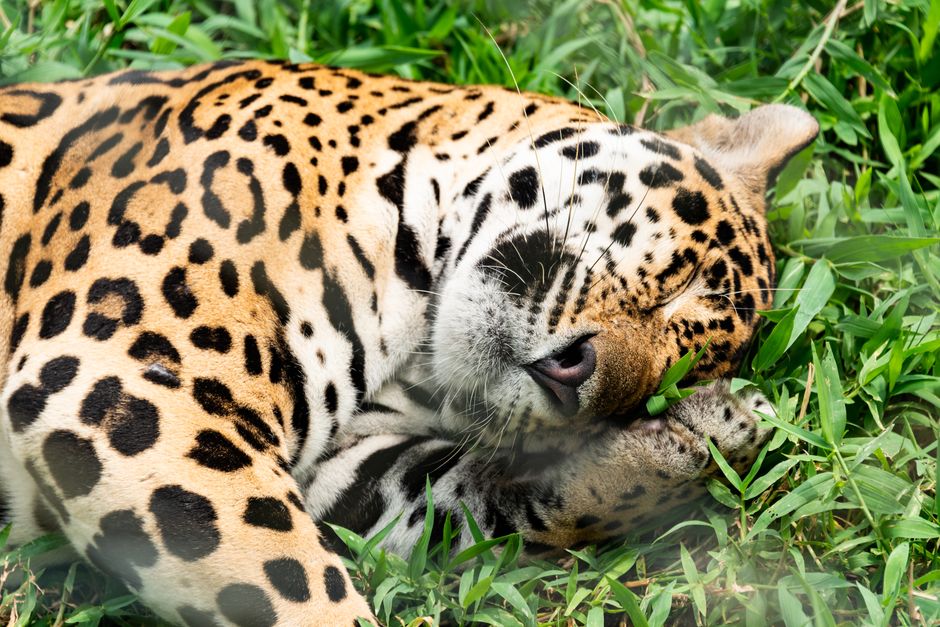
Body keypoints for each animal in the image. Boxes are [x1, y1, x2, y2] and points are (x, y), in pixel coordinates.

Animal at [0, 59, 818, 626]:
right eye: (681, 282)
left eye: (654, 392)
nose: (572, 379)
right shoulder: (122, 376)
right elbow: (293, 583)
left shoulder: (339, 469)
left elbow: (473, 501)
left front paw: (702, 438)